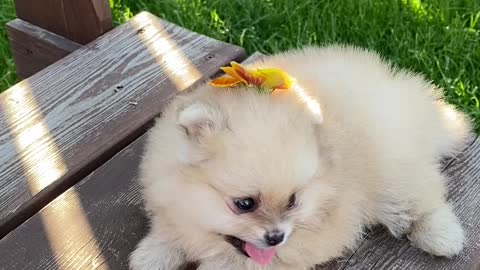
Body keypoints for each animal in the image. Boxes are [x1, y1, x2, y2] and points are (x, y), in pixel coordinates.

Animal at [129, 46, 470, 270]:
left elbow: (231, 262)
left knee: (423, 197)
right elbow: (171, 232)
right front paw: (151, 254)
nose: (276, 236)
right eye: (244, 204)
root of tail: (408, 95)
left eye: (293, 200)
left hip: (394, 167)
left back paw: (442, 236)